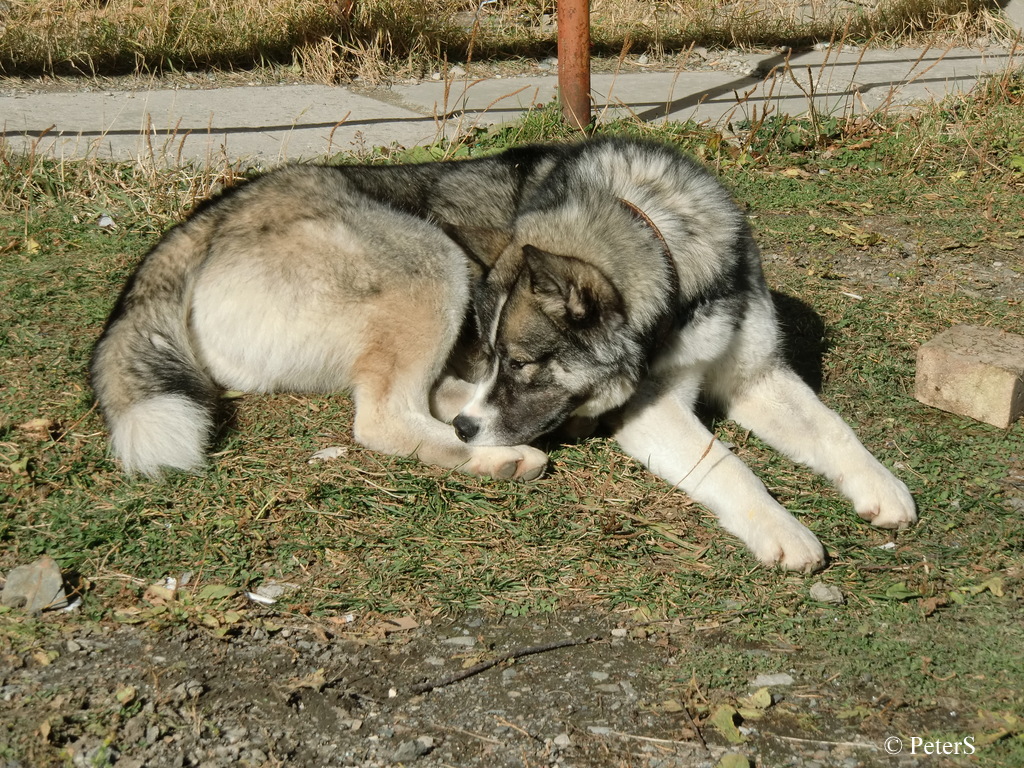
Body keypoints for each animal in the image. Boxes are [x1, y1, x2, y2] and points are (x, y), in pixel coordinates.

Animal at [92, 137, 917, 573]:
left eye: (520, 364)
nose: (477, 421)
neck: (662, 241)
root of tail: (208, 217)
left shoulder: (758, 375)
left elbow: (834, 430)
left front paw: (882, 487)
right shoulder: (651, 412)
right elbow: (729, 462)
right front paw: (781, 528)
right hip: (433, 259)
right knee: (381, 419)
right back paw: (499, 457)